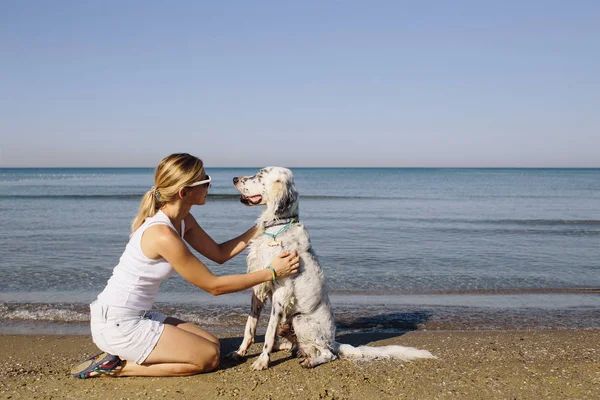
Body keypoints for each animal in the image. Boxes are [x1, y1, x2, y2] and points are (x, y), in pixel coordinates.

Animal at [231, 167, 436, 370]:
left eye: (260, 175)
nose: (234, 178)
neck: (278, 226)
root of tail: (332, 340)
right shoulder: (259, 286)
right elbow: (250, 325)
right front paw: (240, 352)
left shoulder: (281, 293)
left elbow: (268, 332)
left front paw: (262, 361)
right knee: (294, 344)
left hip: (300, 319)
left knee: (328, 354)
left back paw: (310, 361)